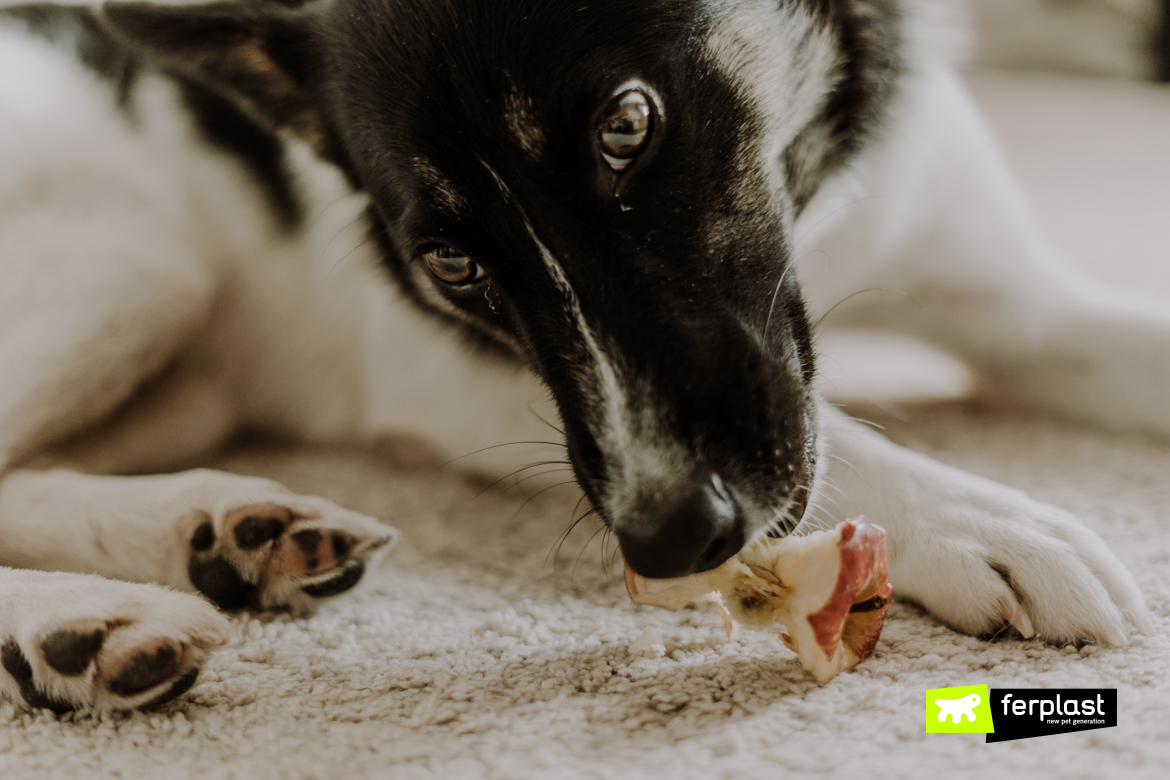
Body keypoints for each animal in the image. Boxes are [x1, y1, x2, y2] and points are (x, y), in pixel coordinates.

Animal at [0, 0, 1160, 715]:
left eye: (628, 126)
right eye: (452, 260)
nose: (670, 537)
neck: (809, 200)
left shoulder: (1028, 309)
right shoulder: (460, 377)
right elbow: (851, 443)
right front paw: (982, 523)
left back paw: (221, 534)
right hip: (139, 254)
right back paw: (79, 625)